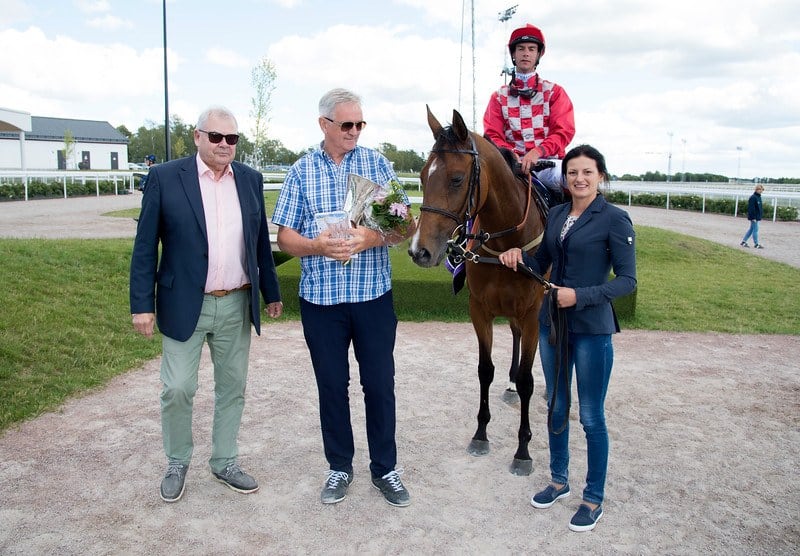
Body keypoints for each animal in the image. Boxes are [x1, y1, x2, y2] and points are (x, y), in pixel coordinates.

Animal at [406, 106, 552, 476]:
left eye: (457, 179)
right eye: (423, 177)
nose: (419, 251)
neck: (505, 246)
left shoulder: (532, 312)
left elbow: (530, 379)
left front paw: (523, 450)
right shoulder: (480, 309)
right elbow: (485, 370)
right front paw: (481, 434)